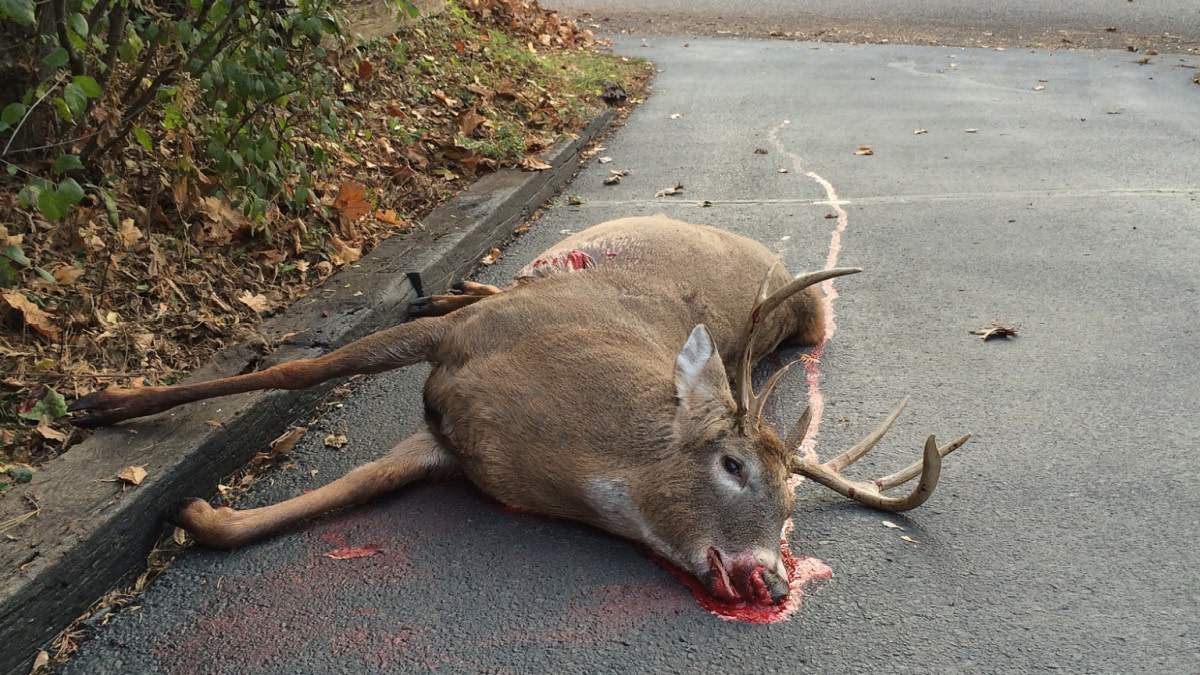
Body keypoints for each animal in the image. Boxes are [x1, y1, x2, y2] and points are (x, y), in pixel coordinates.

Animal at [68, 215, 969, 608]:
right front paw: (105, 402)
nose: (773, 580)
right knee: (481, 290)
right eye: (732, 463)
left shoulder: (448, 438)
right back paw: (444, 282)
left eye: (788, 510)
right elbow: (302, 365)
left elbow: (347, 489)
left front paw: (192, 511)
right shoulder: (462, 344)